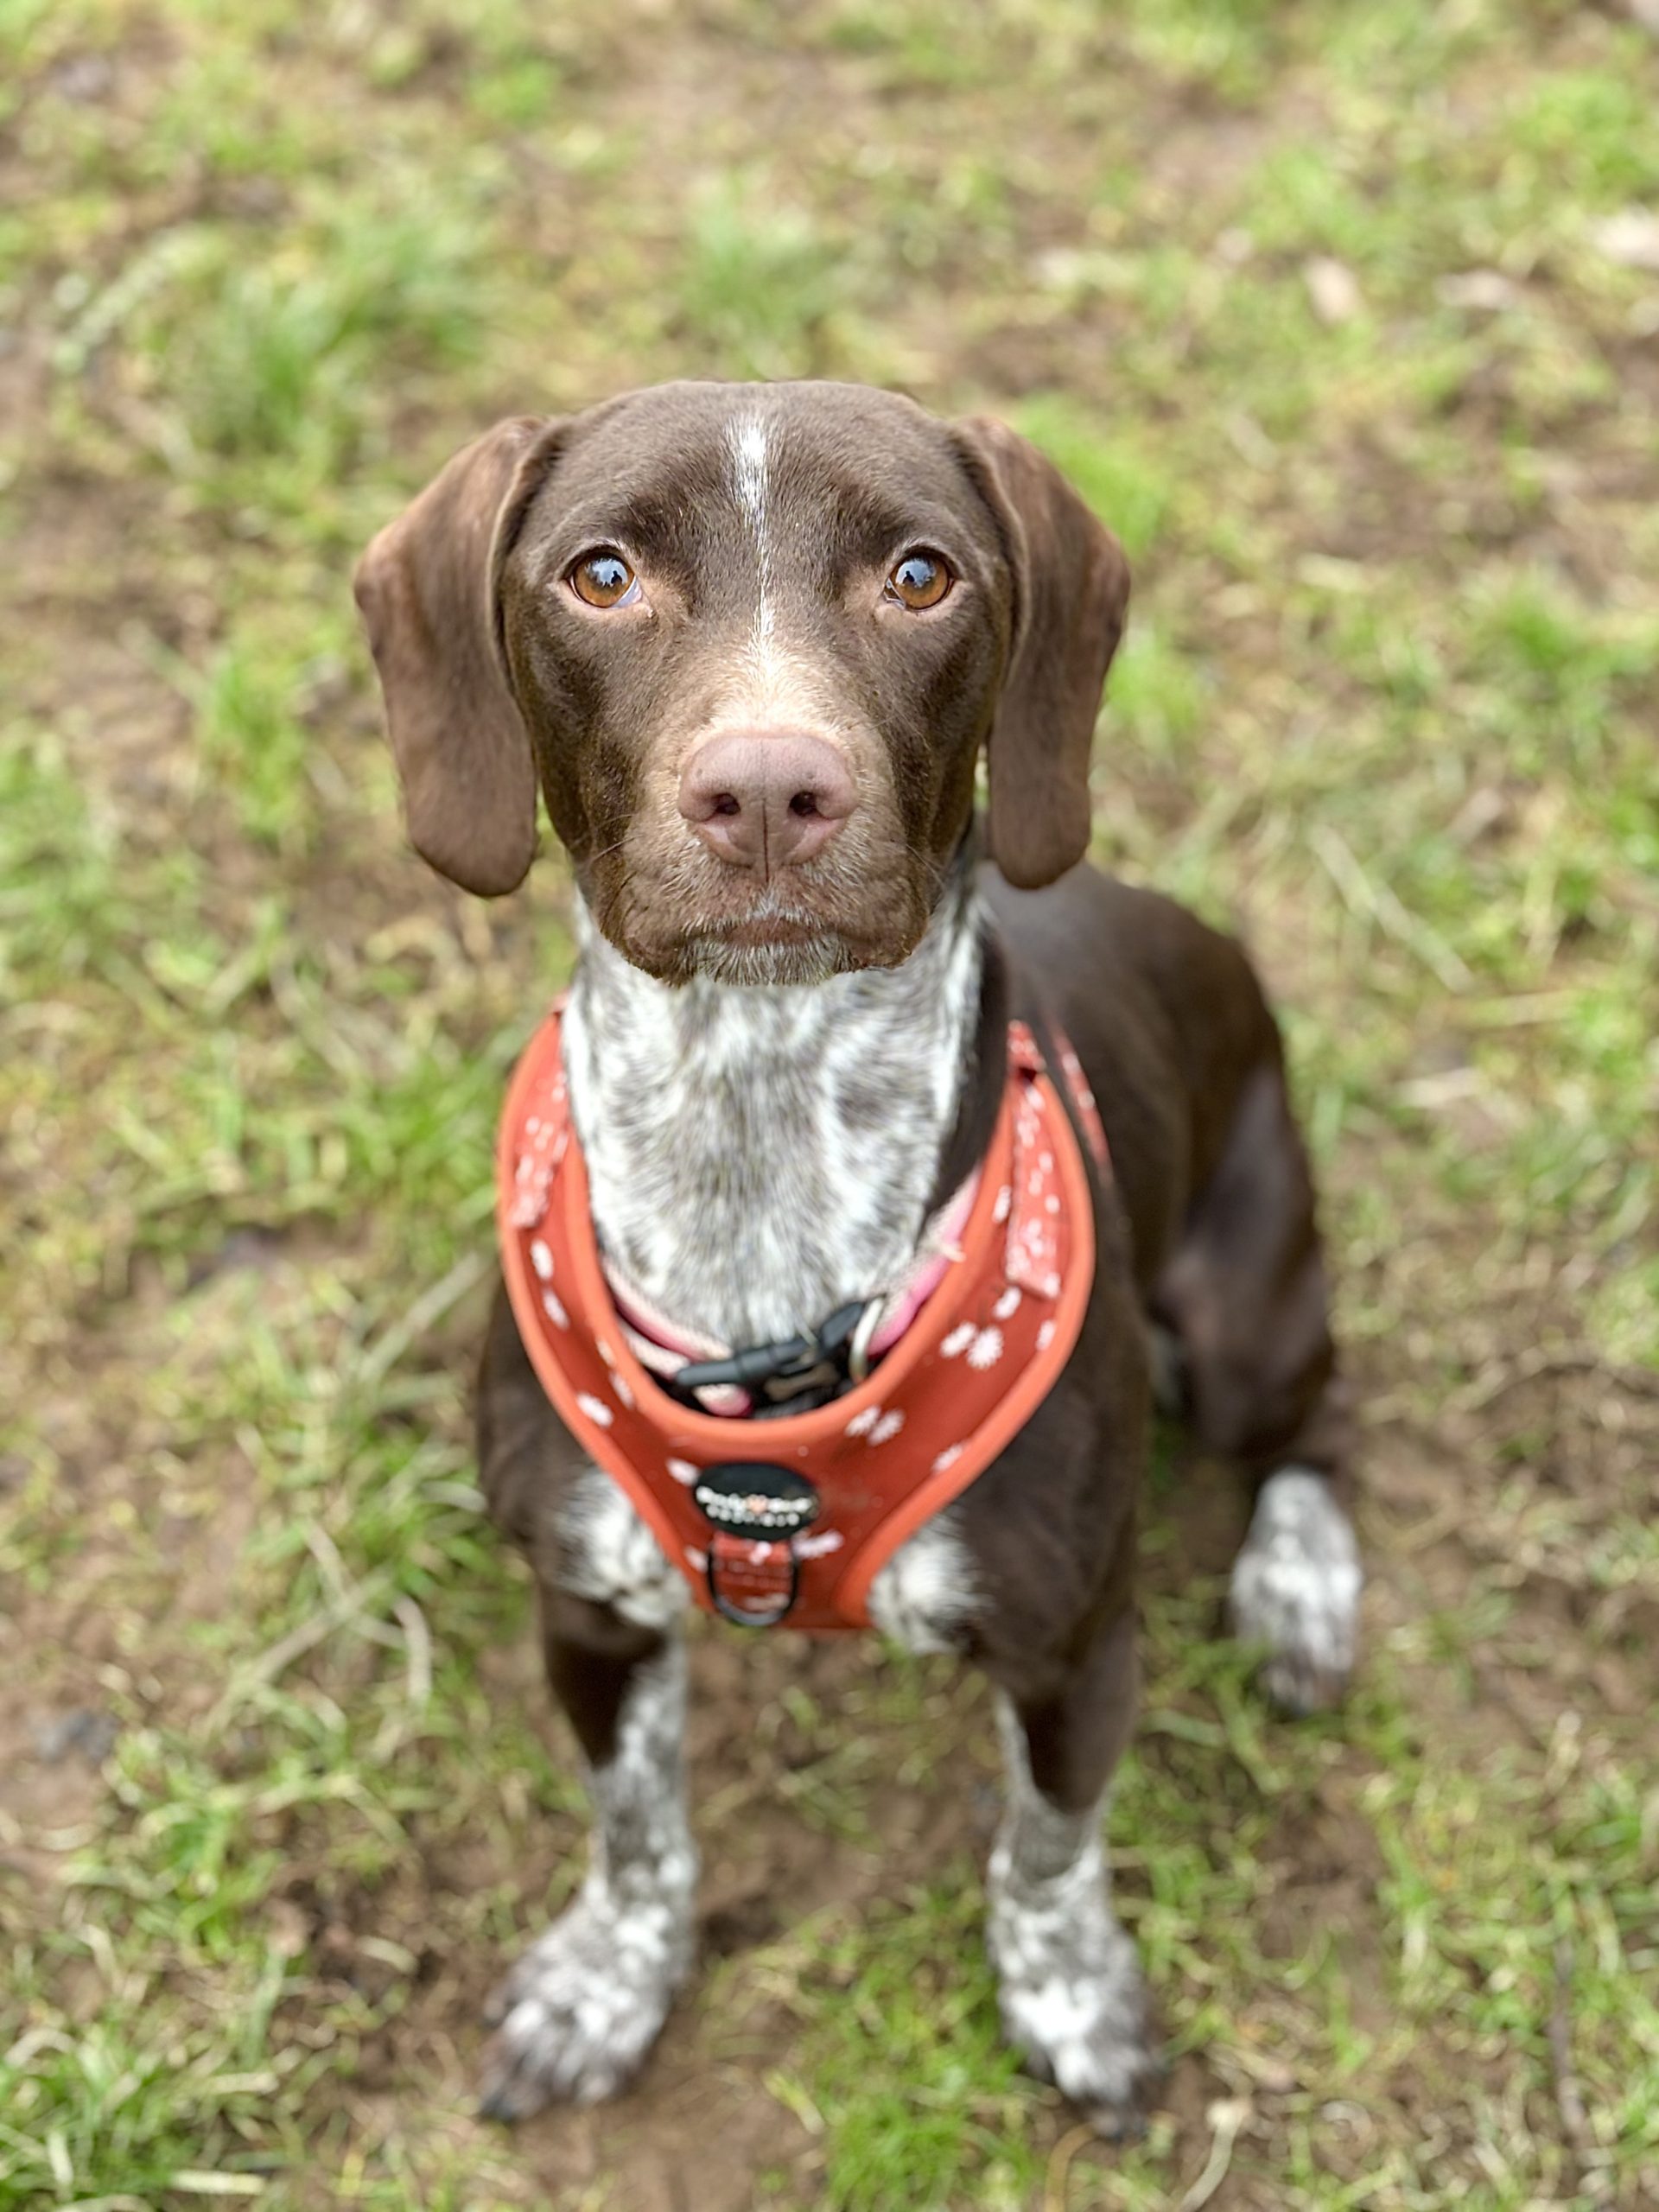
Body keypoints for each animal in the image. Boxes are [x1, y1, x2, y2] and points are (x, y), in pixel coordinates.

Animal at [358, 385, 1353, 2141]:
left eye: (919, 575)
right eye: (600, 575)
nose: (768, 790)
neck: (761, 1171)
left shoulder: (1076, 1648)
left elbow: (1047, 1849)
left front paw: (1070, 1995)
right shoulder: (589, 1610)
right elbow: (634, 1829)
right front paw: (607, 1982)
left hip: (1247, 1316)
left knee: (1319, 1420)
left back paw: (1301, 1588)